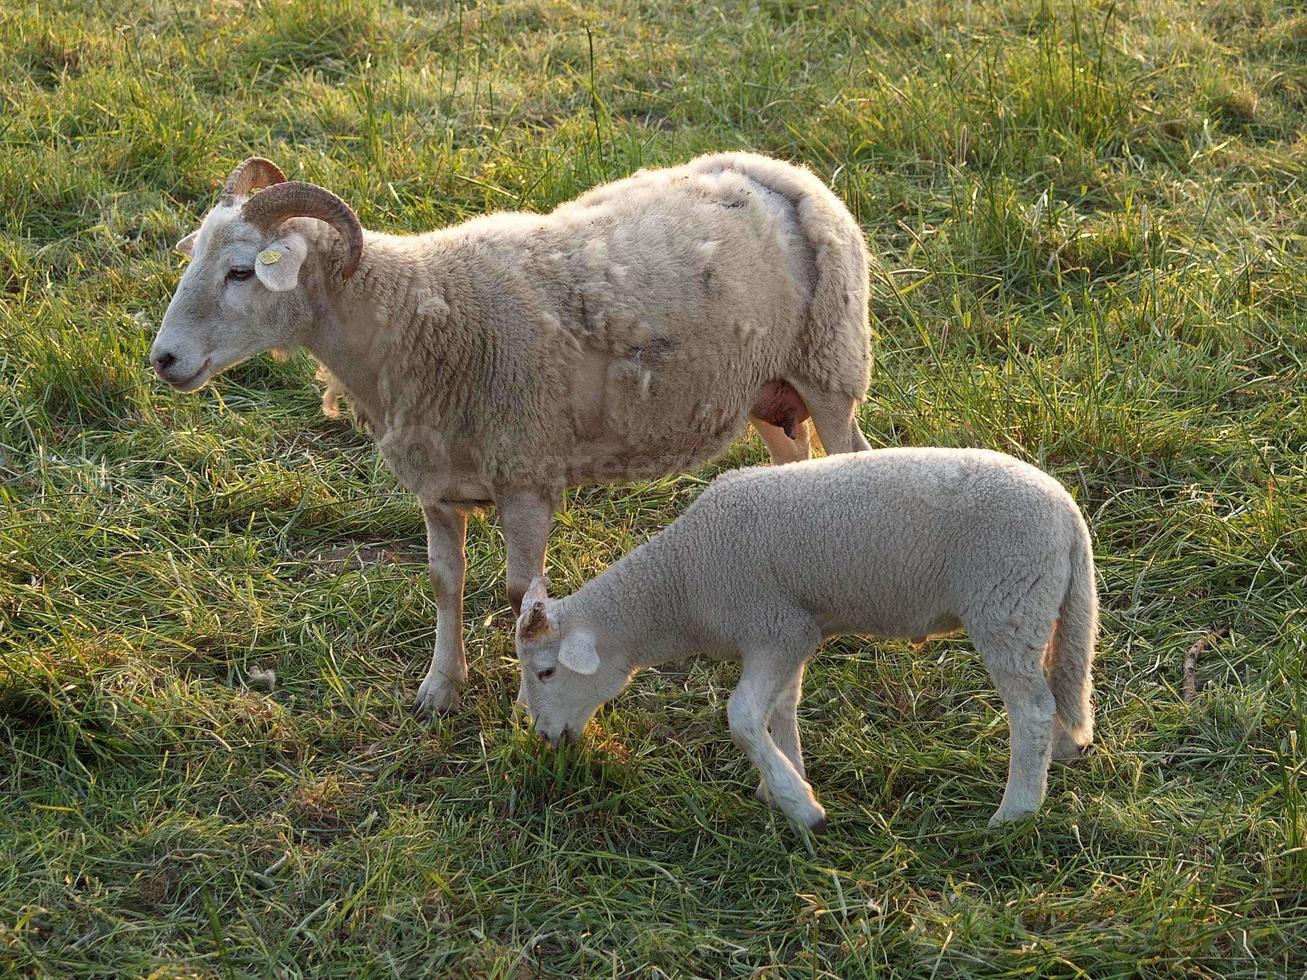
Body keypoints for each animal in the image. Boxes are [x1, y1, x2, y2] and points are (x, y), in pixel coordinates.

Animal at [148, 151, 873, 716]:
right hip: (768, 391)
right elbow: (446, 580)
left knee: (852, 456)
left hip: (830, 364)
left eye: (242, 270)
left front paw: (529, 698)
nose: (164, 359)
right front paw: (441, 688)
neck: (415, 316)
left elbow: (521, 594)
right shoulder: (437, 481)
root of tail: (778, 173)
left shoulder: (525, 473)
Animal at [514, 449, 1097, 831]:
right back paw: (1058, 757)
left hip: (1004, 604)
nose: (545, 737)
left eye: (546, 671)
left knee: (1032, 710)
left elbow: (742, 716)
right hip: (1035, 607)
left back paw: (1015, 812)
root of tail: (1068, 515)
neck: (681, 583)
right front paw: (781, 779)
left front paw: (801, 807)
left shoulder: (773, 626)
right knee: (1060, 686)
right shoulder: (792, 634)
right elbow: (781, 707)